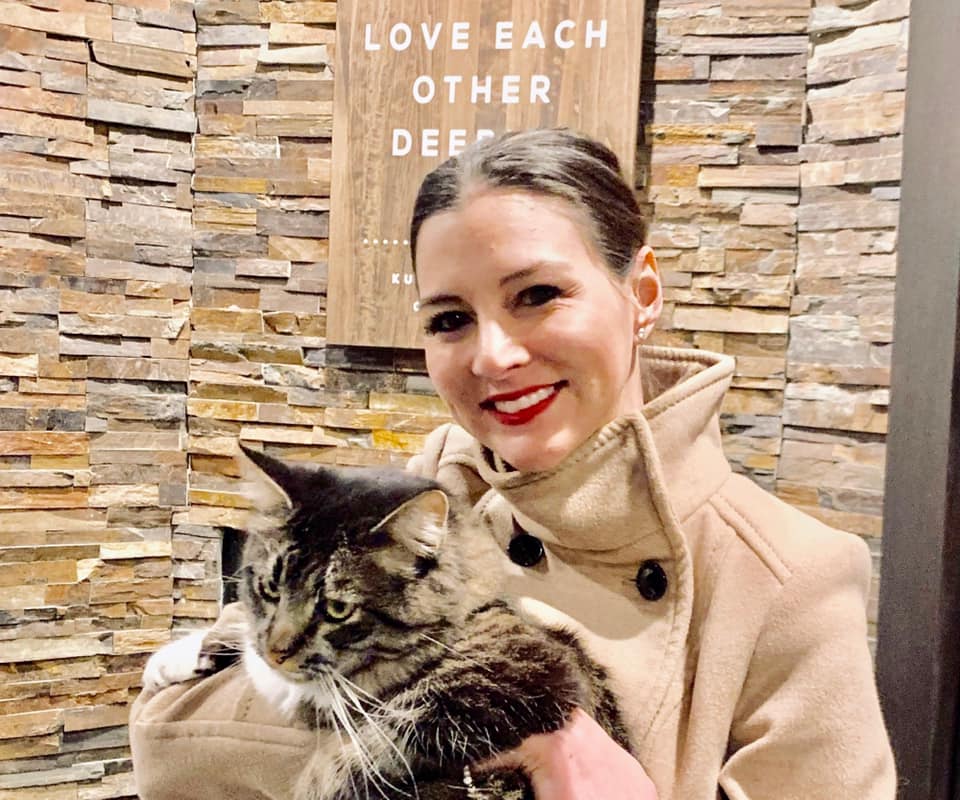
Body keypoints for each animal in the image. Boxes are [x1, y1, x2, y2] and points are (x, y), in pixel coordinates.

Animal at [144, 444, 630, 800]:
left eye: (338, 610)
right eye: (270, 588)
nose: (278, 653)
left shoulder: (515, 677)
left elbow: (375, 743)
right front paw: (173, 659)